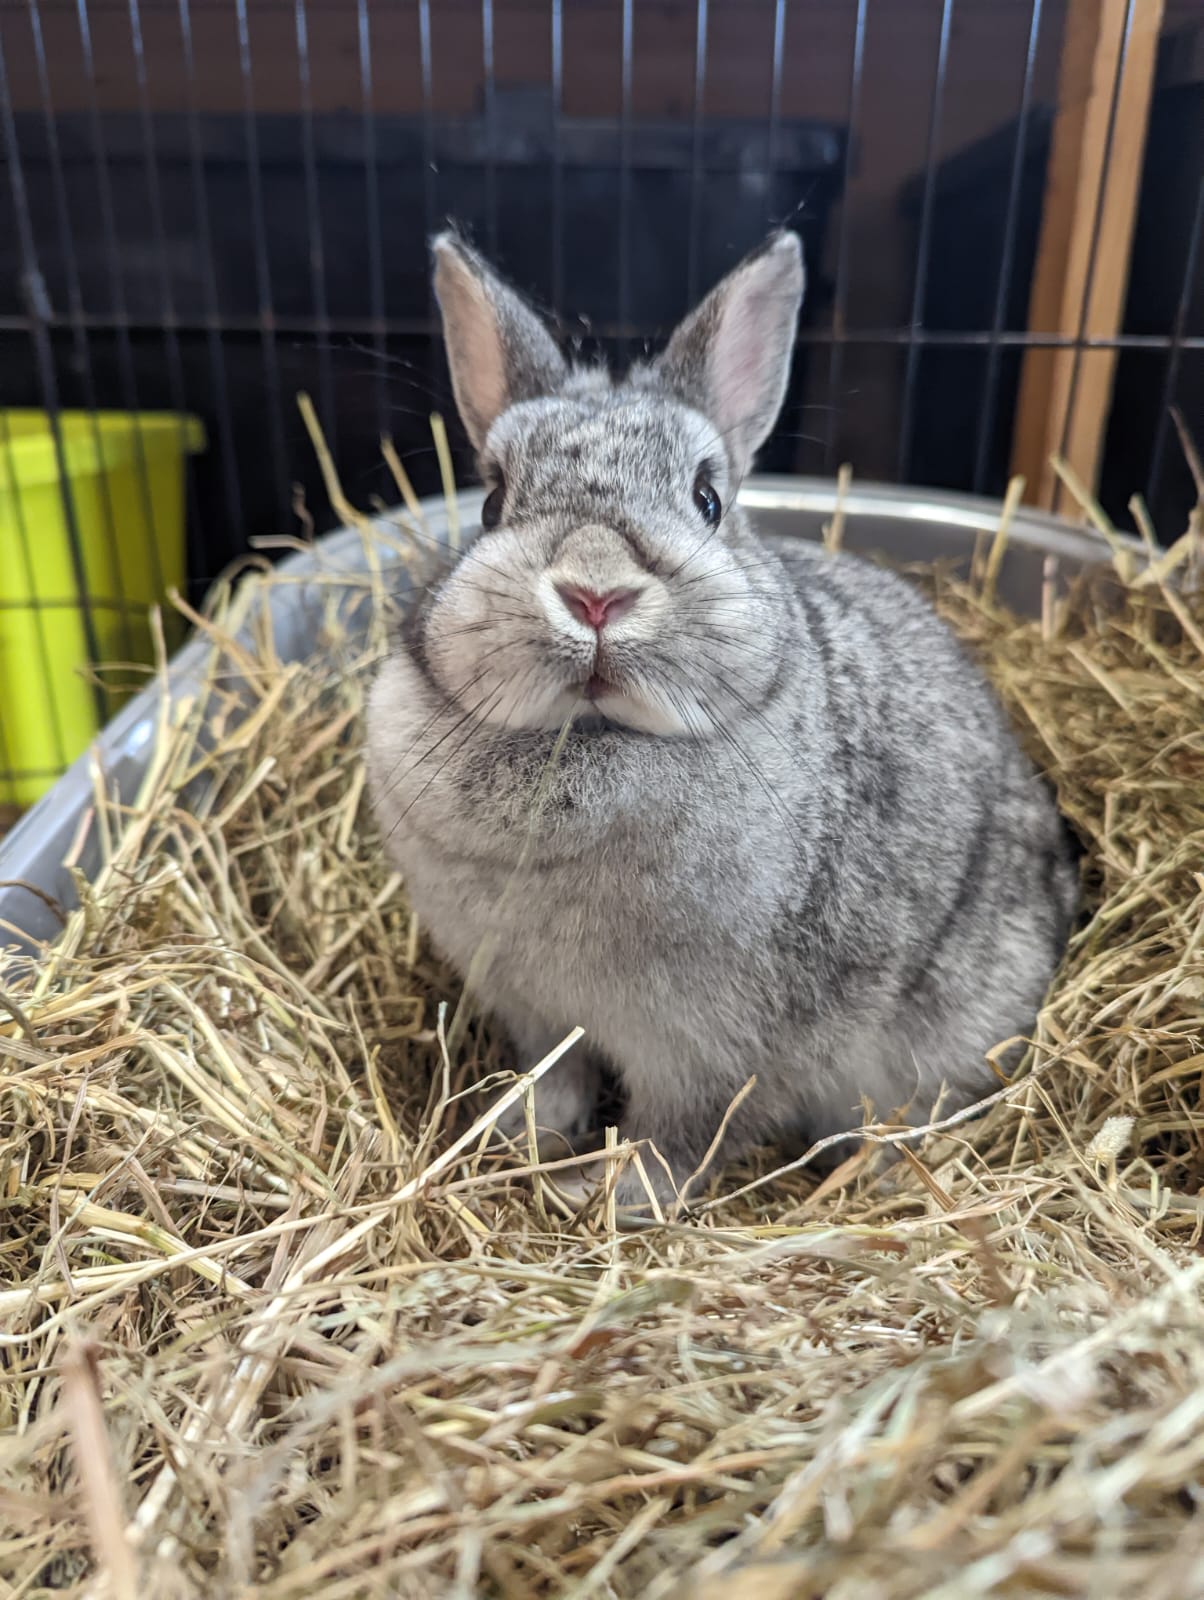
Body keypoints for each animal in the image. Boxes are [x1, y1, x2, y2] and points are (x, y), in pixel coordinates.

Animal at [365, 226, 1078, 1210]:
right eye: (492, 500)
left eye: (708, 498)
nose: (595, 595)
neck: (590, 746)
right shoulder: (534, 1010)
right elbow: (558, 1080)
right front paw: (519, 1136)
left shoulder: (714, 1052)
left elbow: (682, 1135)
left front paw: (610, 1195)